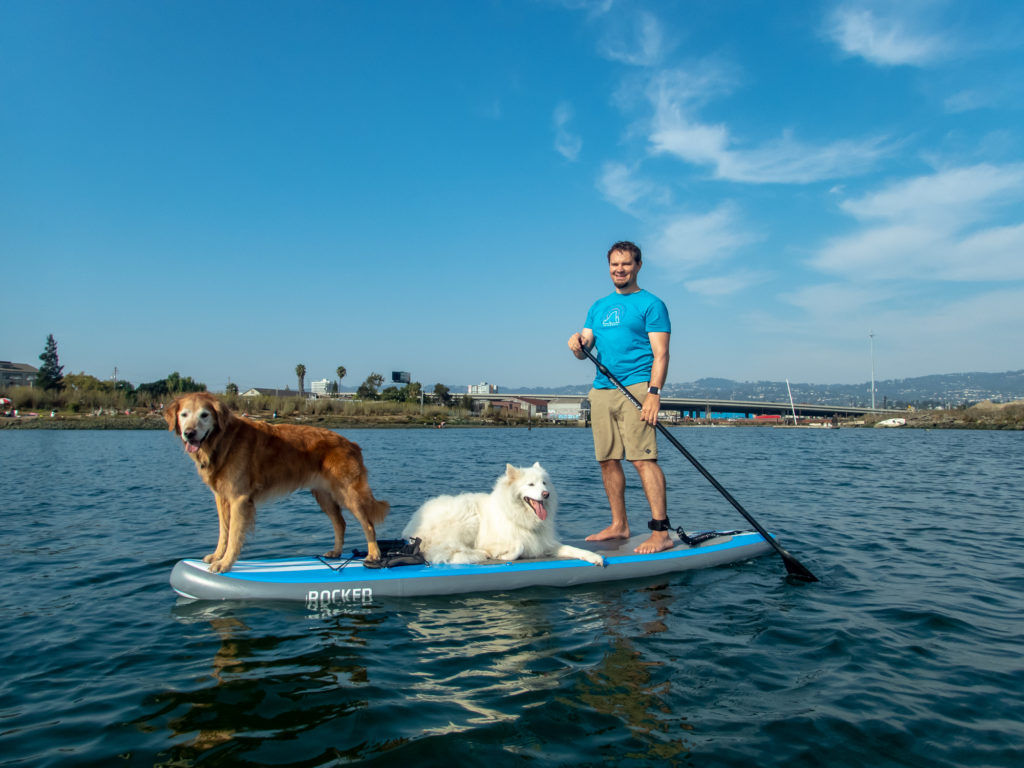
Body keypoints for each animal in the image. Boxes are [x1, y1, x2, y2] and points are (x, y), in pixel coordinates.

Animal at [163, 397, 387, 573]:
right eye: (184, 415)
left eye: (204, 415)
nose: (189, 433)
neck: (223, 441)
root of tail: (351, 444)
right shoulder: (221, 498)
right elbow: (224, 531)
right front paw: (217, 556)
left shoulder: (239, 499)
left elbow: (234, 535)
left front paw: (225, 563)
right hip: (324, 495)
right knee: (340, 523)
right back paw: (337, 552)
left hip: (348, 493)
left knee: (368, 524)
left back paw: (373, 554)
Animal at [403, 460, 602, 569]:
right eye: (531, 485)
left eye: (544, 483)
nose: (546, 494)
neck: (519, 518)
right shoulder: (496, 541)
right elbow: (518, 546)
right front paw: (502, 556)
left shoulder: (544, 543)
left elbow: (574, 549)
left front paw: (595, 557)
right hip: (467, 516)